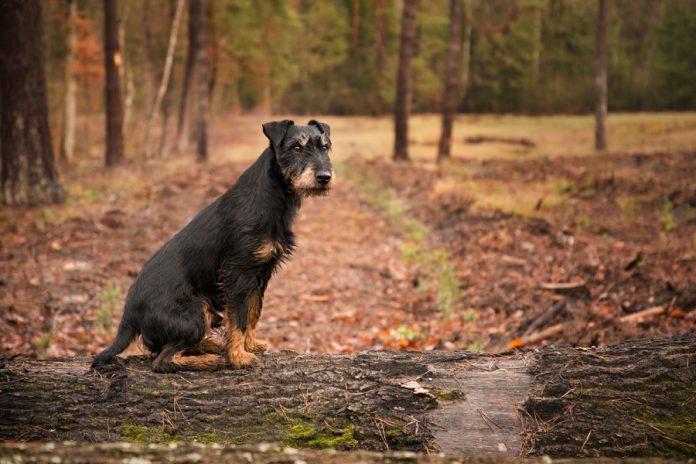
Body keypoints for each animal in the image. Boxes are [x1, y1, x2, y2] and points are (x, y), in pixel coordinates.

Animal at [92, 120, 334, 374]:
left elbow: (253, 312)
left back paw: (215, 346)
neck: (272, 196)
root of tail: (128, 316)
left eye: (325, 146)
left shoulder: (260, 274)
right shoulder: (238, 273)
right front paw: (238, 357)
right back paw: (211, 359)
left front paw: (248, 345)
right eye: (296, 147)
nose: (324, 177)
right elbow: (238, 318)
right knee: (163, 360)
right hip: (194, 314)